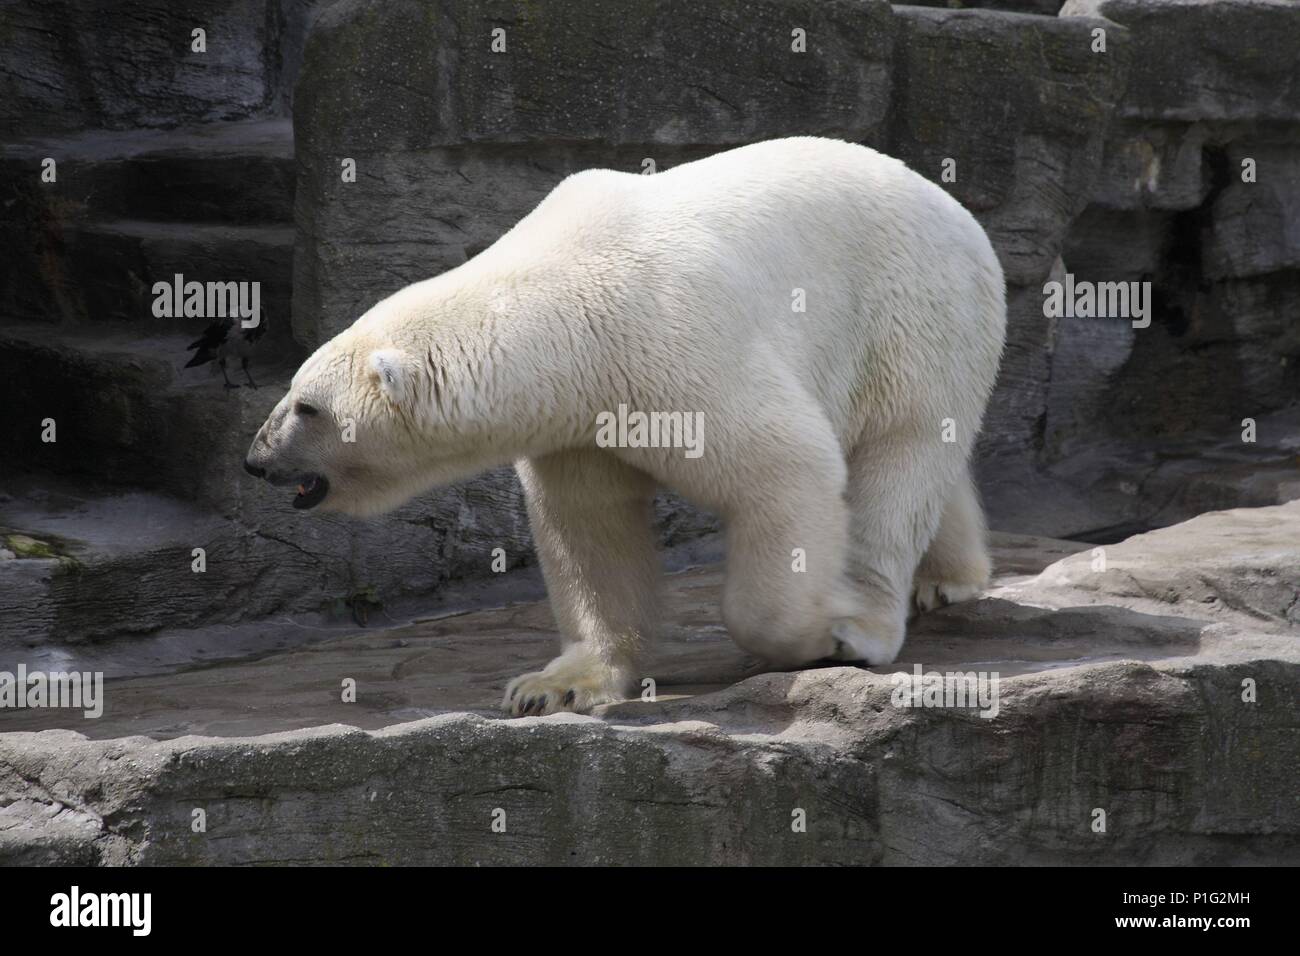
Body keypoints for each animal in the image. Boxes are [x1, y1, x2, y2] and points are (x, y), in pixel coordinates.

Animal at [248, 138, 1008, 712]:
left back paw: (865, 621)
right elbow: (591, 525)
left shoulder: (673, 343)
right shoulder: (579, 416)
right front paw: (554, 685)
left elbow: (788, 463)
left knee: (897, 460)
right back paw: (950, 577)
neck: (566, 307)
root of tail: (958, 211)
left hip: (912, 313)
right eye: (291, 393)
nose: (256, 459)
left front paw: (812, 635)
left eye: (308, 407)